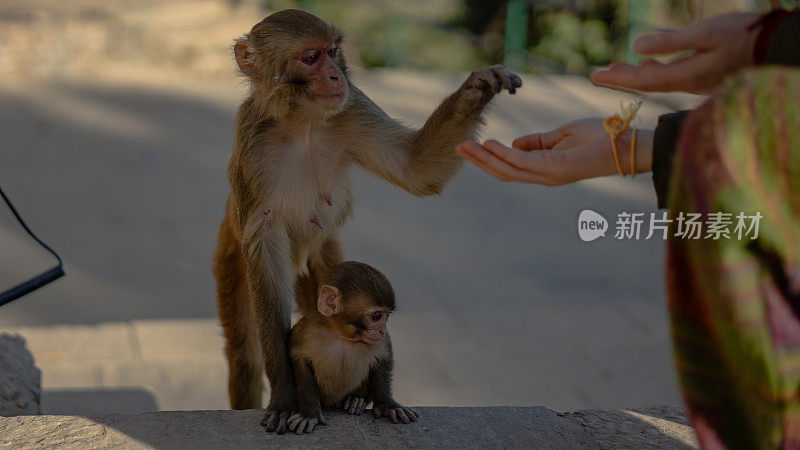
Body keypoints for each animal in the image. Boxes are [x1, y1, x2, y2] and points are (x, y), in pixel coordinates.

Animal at [286, 262, 416, 434]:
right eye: (376, 317)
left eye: (386, 316)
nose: (382, 330)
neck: (342, 336)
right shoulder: (303, 332)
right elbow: (301, 362)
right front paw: (309, 412)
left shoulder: (382, 341)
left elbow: (383, 358)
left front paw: (387, 404)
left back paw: (356, 399)